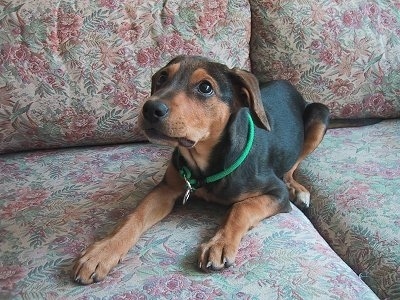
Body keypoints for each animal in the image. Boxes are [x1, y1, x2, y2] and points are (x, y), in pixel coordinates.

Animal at [73, 55, 330, 284]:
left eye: (205, 87)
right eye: (162, 78)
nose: (149, 108)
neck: (202, 163)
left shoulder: (276, 193)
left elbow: (241, 207)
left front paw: (220, 243)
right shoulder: (166, 188)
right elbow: (135, 215)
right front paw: (102, 252)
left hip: (320, 113)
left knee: (291, 168)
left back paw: (298, 189)